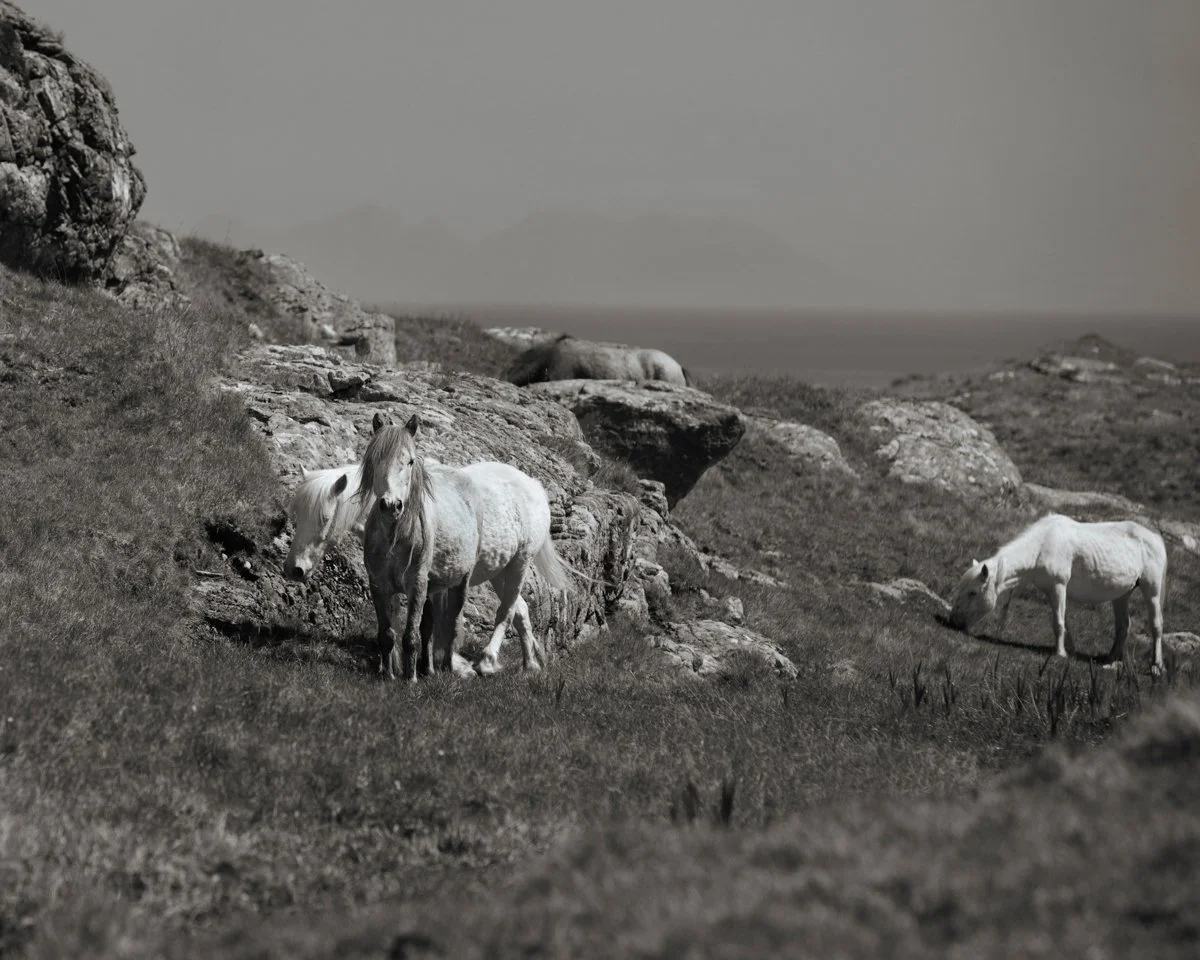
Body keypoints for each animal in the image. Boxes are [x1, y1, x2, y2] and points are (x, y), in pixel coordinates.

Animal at [358, 411, 574, 681]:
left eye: (410, 462)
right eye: (375, 460)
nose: (391, 505)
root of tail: (532, 483)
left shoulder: (419, 581)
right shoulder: (380, 583)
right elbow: (391, 632)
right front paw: (391, 672)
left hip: (520, 562)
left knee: (506, 611)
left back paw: (488, 661)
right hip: (499, 572)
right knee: (521, 610)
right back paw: (530, 664)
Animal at [946, 514, 1168, 674]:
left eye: (973, 593)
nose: (953, 621)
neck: (1042, 545)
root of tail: (1156, 538)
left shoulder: (1059, 586)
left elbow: (1058, 623)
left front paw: (1060, 653)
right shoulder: (1051, 590)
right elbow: (1063, 621)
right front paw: (1070, 651)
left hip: (1152, 590)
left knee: (1156, 626)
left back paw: (1156, 666)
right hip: (1122, 595)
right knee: (1123, 626)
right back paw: (1111, 661)